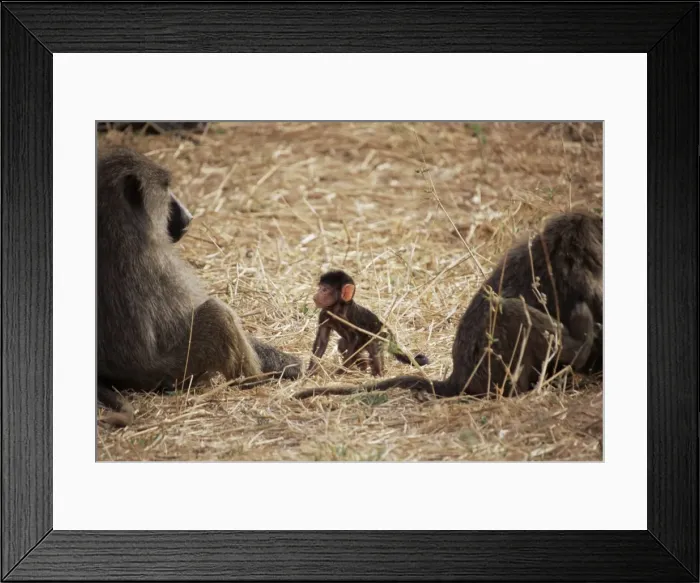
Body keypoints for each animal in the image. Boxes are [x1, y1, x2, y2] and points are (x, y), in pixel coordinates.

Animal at [97, 147, 301, 426]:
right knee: (218, 315)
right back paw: (252, 380)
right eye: (166, 188)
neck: (115, 224)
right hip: (176, 372)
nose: (189, 216)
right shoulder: (161, 264)